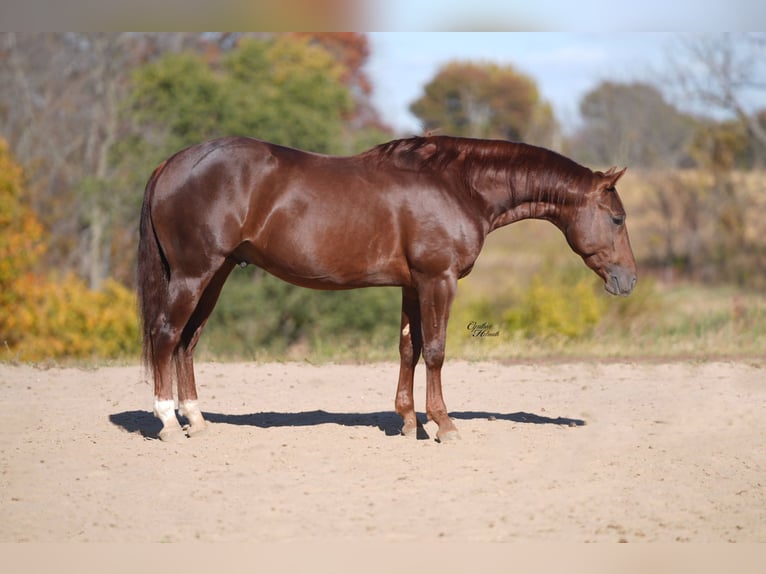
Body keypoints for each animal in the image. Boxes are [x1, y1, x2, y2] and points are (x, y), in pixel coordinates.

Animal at [136, 136, 636, 446]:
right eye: (617, 218)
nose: (628, 279)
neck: (457, 186)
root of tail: (169, 164)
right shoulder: (438, 279)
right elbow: (434, 350)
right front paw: (444, 424)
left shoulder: (413, 284)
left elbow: (408, 349)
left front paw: (408, 422)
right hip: (193, 273)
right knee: (166, 335)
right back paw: (167, 421)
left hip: (217, 273)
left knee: (187, 341)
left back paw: (196, 420)